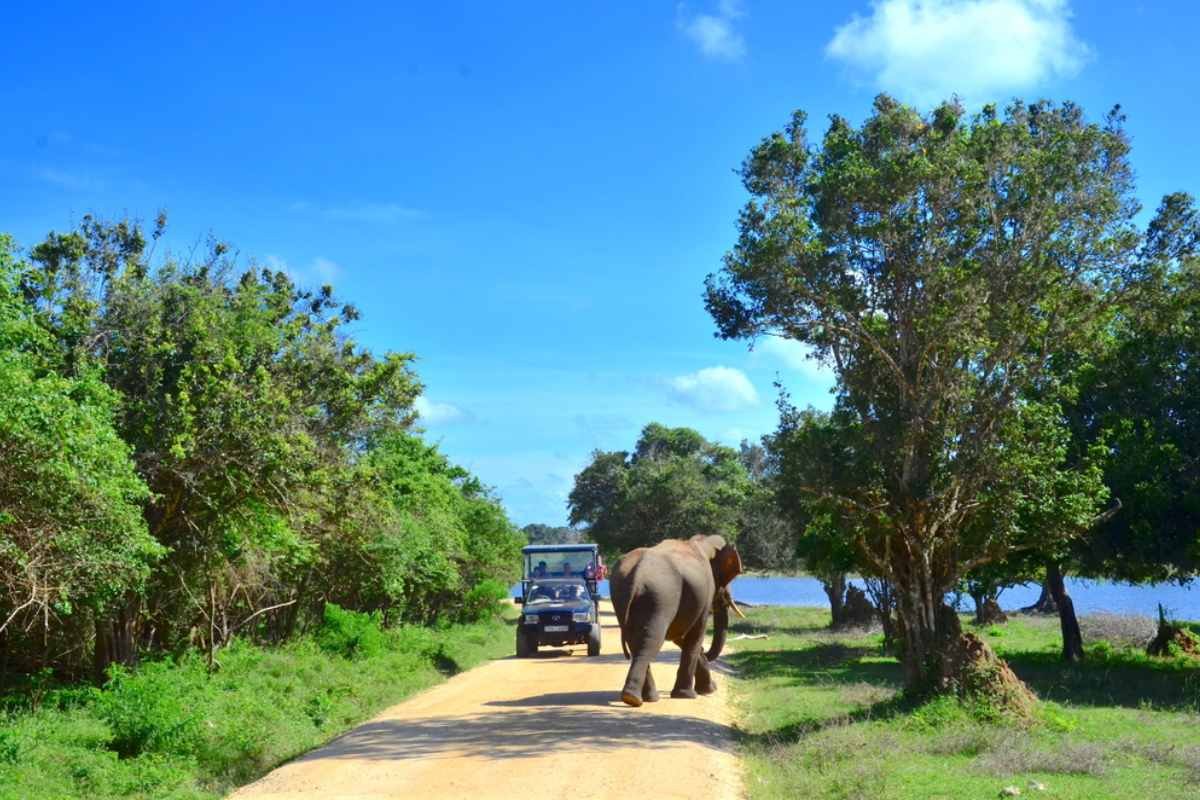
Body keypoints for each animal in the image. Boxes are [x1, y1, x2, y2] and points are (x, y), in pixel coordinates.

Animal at [614, 537, 744, 705]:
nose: (715, 687)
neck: (702, 541)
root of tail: (636, 574)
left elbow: (680, 636)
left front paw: (706, 689)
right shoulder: (704, 595)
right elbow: (695, 635)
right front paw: (689, 695)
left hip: (623, 597)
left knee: (635, 641)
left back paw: (643, 698)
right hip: (660, 597)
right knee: (652, 641)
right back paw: (635, 699)